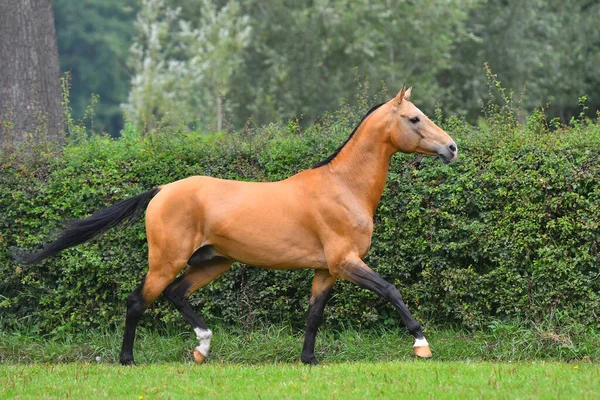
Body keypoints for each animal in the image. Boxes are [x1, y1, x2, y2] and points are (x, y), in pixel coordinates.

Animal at [15, 86, 460, 364]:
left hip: (214, 261)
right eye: (414, 119)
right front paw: (421, 344)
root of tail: (161, 190)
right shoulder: (345, 261)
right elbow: (390, 289)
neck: (343, 187)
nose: (452, 148)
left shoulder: (326, 270)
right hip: (167, 260)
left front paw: (309, 359)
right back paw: (128, 360)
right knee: (138, 301)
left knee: (176, 295)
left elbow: (314, 314)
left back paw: (202, 348)